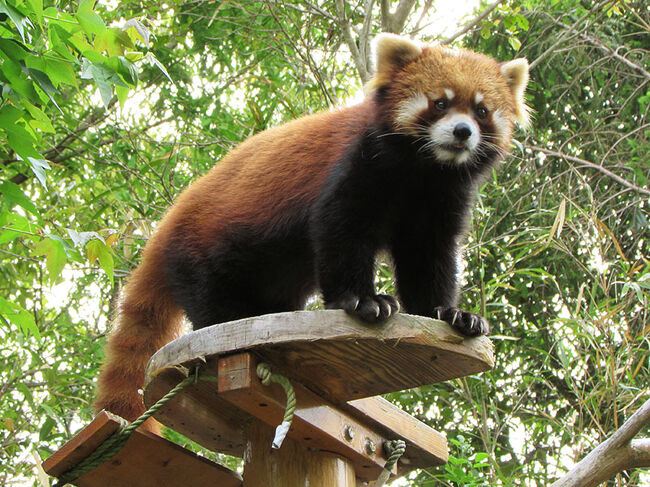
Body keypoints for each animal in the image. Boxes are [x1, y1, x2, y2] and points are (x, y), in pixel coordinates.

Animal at [93, 34, 528, 428]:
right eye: (439, 103)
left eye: (481, 110)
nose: (462, 132)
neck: (423, 170)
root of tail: (166, 224)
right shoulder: (357, 166)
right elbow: (339, 230)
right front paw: (364, 301)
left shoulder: (440, 200)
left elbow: (429, 259)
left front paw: (449, 314)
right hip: (197, 250)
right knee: (212, 298)